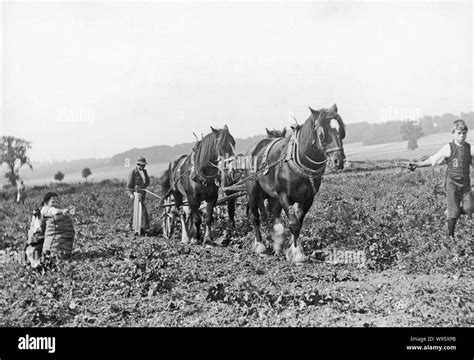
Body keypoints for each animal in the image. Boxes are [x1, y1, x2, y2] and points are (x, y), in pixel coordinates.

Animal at [246, 104, 346, 264]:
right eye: (322, 133)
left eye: (341, 130)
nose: (339, 161)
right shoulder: (283, 196)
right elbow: (293, 223)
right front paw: (296, 252)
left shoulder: (308, 199)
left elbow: (298, 223)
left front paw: (290, 248)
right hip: (252, 191)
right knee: (255, 217)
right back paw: (260, 246)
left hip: (272, 197)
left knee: (273, 217)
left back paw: (276, 245)